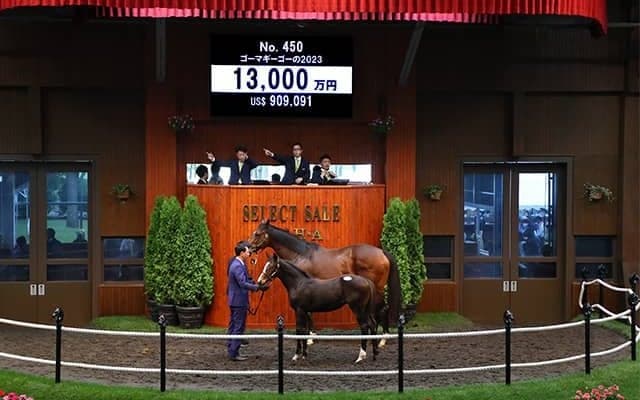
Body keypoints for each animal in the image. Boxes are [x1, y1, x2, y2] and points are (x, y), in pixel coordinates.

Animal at [248, 219, 401, 347]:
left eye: (257, 233)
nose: (248, 248)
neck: (301, 253)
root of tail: (382, 252)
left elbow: (309, 314)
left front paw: (310, 338)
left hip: (377, 288)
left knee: (383, 308)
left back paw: (382, 339)